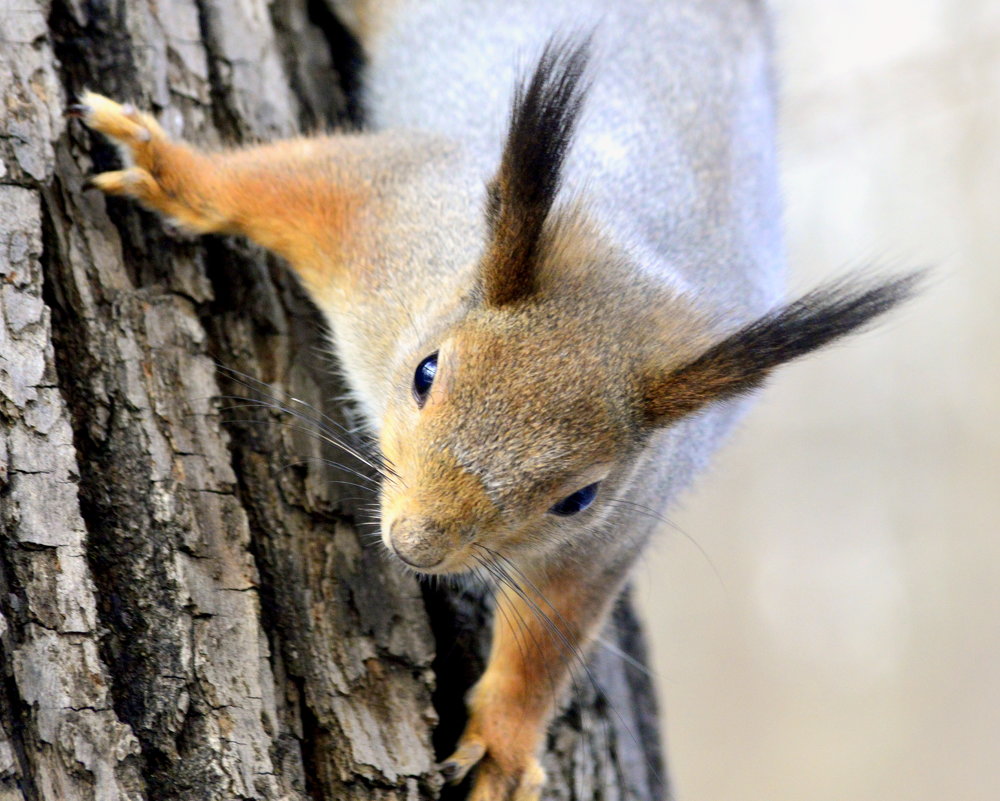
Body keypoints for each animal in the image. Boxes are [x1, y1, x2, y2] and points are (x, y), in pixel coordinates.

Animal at [66, 1, 916, 800]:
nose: (418, 546)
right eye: (426, 373)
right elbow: (275, 182)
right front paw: (165, 165)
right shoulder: (385, 207)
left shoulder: (611, 531)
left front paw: (505, 741)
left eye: (579, 497)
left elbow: (551, 630)